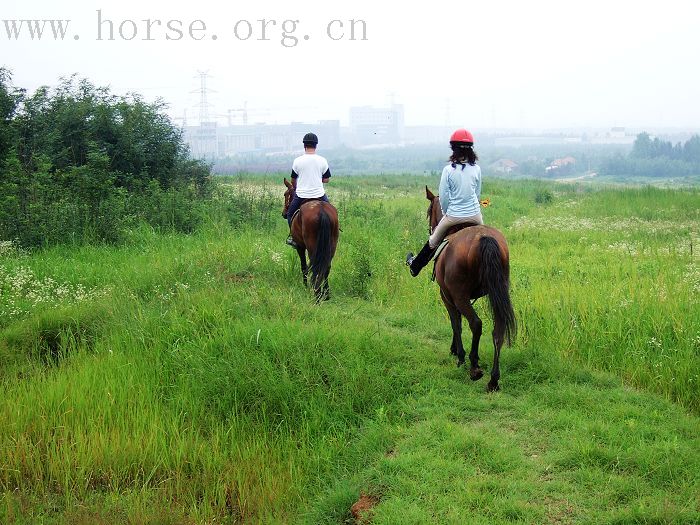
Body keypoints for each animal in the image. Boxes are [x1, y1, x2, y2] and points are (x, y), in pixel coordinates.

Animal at [424, 185, 516, 388]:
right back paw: (493, 380)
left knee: (475, 323)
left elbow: (455, 323)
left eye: (428, 212)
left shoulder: (447, 296)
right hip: (497, 291)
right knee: (498, 330)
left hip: (459, 296)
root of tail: (485, 238)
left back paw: (474, 367)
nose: (430, 230)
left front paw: (459, 355)